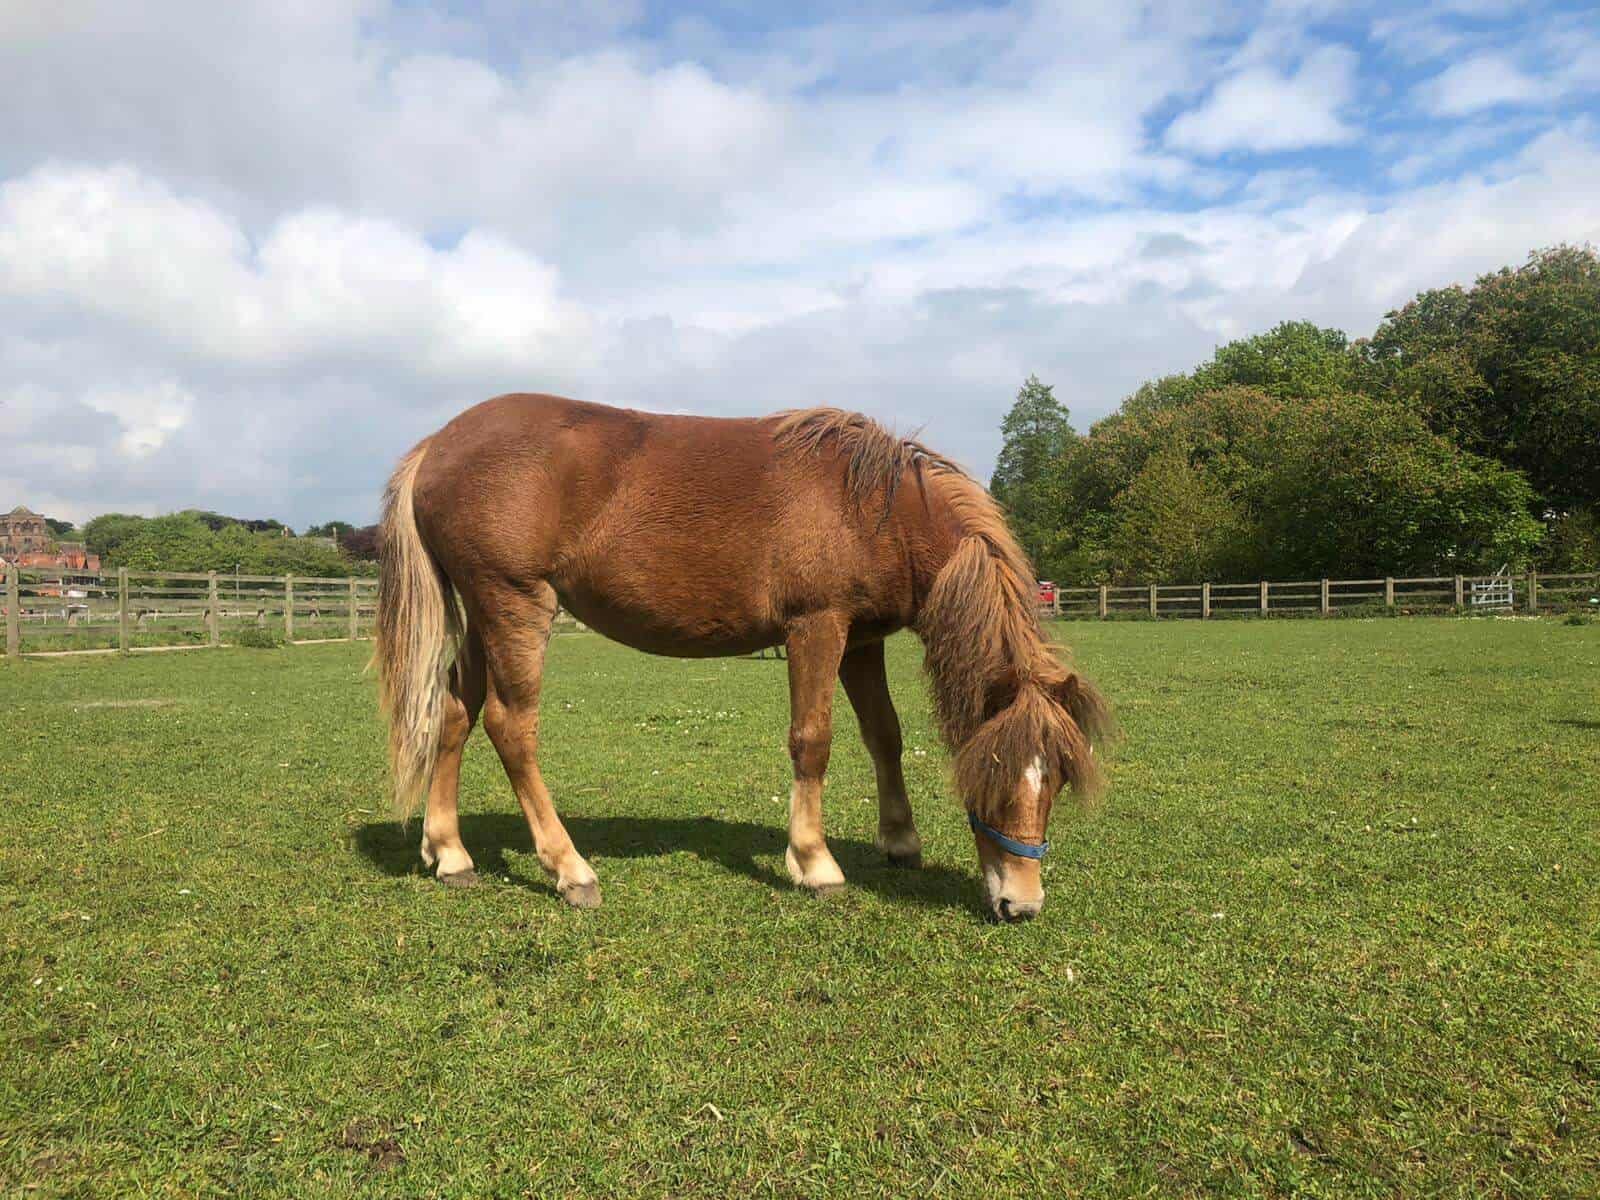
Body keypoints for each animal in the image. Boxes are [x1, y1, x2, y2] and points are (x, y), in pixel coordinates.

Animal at [373, 394, 1109, 921]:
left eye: (1057, 778)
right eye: (994, 771)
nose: (1022, 904)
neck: (876, 508)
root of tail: (438, 445)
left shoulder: (861, 639)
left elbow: (885, 736)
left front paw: (900, 841)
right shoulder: (817, 627)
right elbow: (813, 740)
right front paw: (814, 862)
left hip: (482, 616)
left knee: (455, 713)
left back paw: (450, 852)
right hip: (515, 604)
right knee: (510, 725)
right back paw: (568, 868)